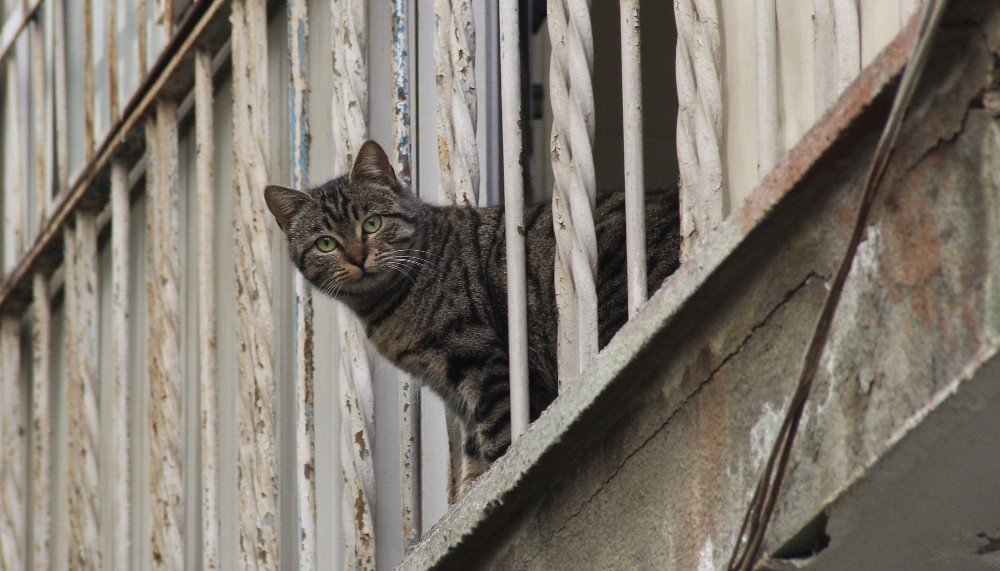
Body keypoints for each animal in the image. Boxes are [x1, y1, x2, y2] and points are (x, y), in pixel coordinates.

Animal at [266, 142, 680, 482]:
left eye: (372, 223)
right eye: (325, 244)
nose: (356, 257)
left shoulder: (482, 363)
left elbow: (498, 438)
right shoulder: (455, 390)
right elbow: (473, 453)